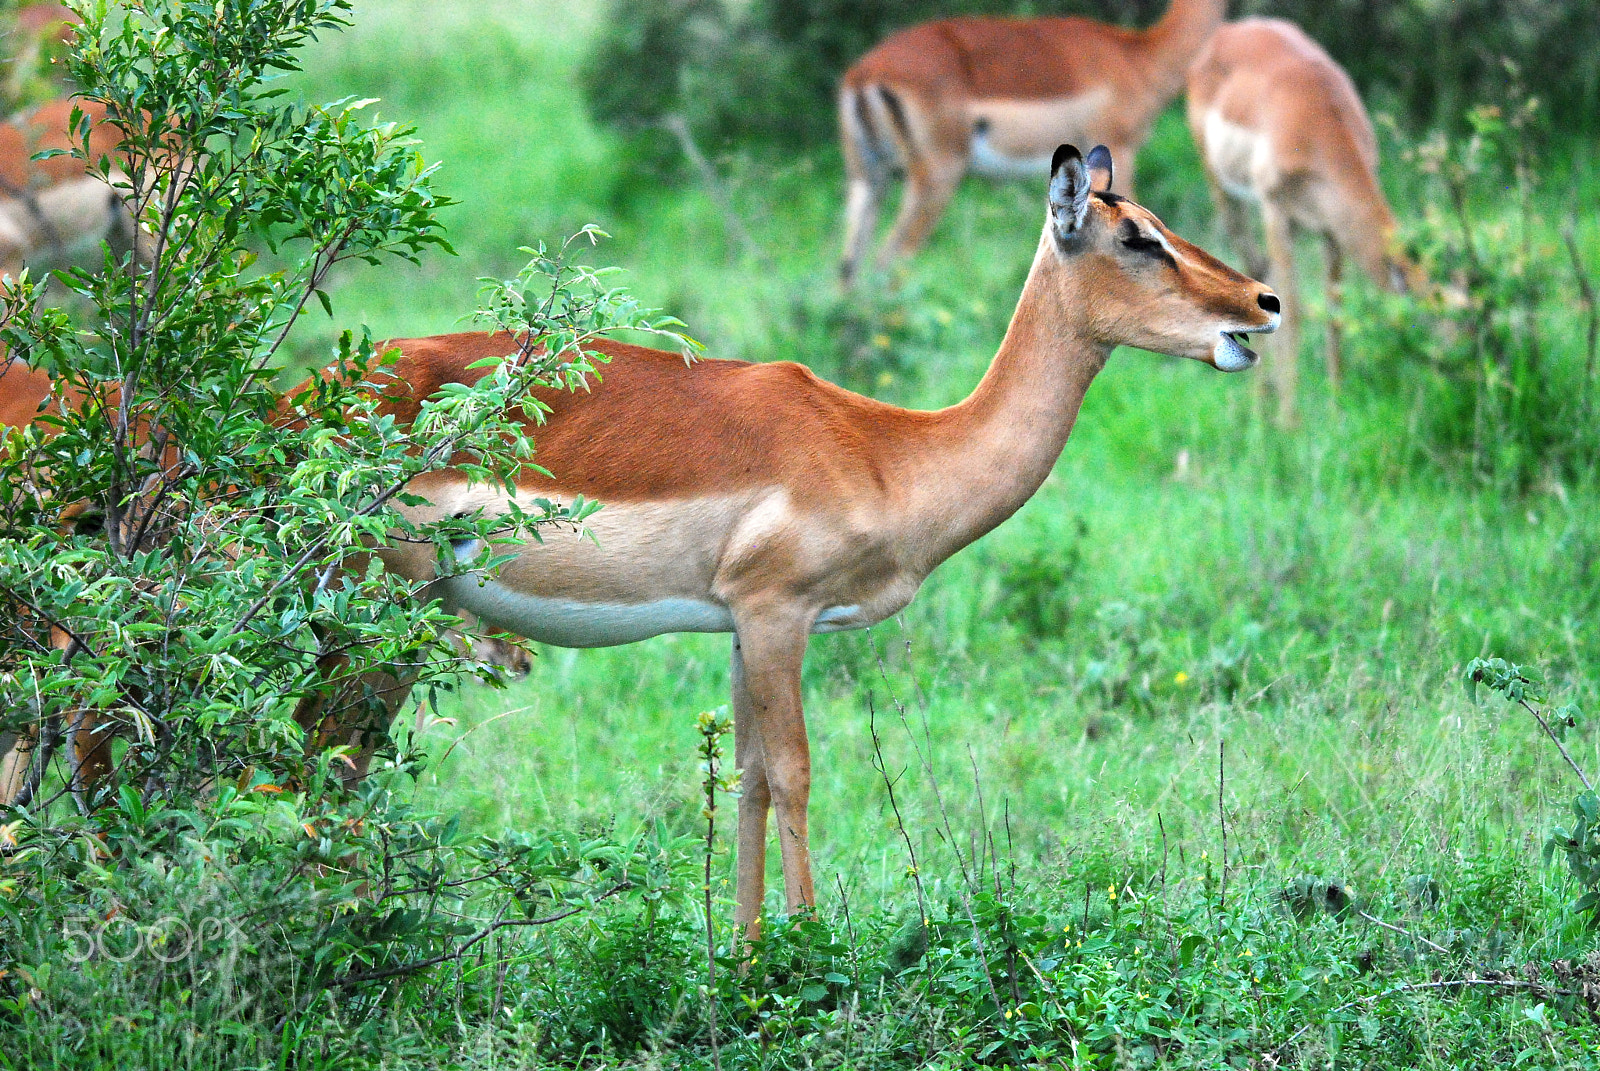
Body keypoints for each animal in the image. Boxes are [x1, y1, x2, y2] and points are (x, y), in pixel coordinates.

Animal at [355, 145, 1277, 936]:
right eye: (1136, 236)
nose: (1264, 302)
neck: (885, 451)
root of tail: (326, 386)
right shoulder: (776, 612)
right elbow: (795, 772)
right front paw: (804, 950)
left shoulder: (738, 626)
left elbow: (750, 777)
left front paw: (744, 955)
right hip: (384, 614)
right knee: (344, 754)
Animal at [838, 0, 1225, 287]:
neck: (1139, 56)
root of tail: (864, 72)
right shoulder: (1120, 149)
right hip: (935, 178)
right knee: (890, 260)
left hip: (868, 178)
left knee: (849, 265)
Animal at [1187, 17, 1429, 427]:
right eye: (1438, 309)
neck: (1317, 120)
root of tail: (1230, 30)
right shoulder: (1277, 212)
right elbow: (1294, 311)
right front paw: (1290, 423)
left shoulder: (1332, 230)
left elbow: (1335, 310)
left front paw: (1335, 407)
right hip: (1224, 191)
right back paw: (1261, 408)